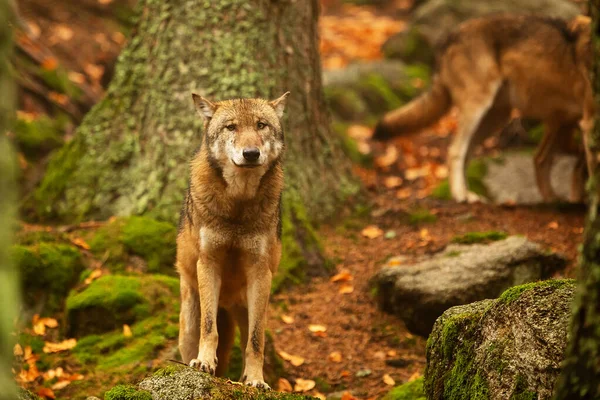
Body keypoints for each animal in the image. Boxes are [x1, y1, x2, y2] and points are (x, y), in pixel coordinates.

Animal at [176, 90, 290, 388]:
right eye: (231, 127)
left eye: (261, 125)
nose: (251, 154)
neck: (238, 205)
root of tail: (226, 304)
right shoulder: (208, 262)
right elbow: (209, 329)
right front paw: (204, 362)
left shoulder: (260, 272)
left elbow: (255, 342)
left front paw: (256, 380)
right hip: (189, 321)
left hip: (249, 307)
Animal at [372, 14, 592, 203]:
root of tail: (450, 36)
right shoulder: (587, 124)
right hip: (478, 107)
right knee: (455, 151)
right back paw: (461, 195)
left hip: (498, 118)